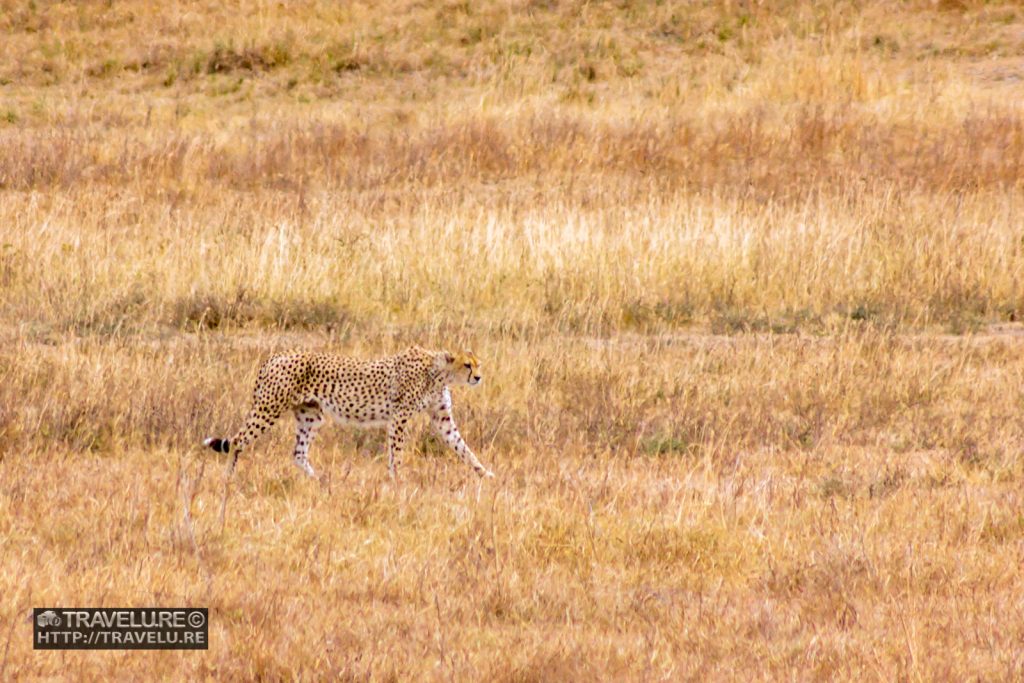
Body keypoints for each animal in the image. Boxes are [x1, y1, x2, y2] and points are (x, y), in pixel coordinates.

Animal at [203, 345, 494, 480]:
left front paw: (484, 473)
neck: (439, 373)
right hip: (269, 409)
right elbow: (396, 453)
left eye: (478, 364)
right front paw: (397, 480)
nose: (479, 377)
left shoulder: (442, 418)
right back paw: (228, 479)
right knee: (238, 440)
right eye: (467, 365)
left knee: (298, 453)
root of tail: (274, 356)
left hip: (310, 415)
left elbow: (463, 448)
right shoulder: (399, 418)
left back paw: (318, 481)